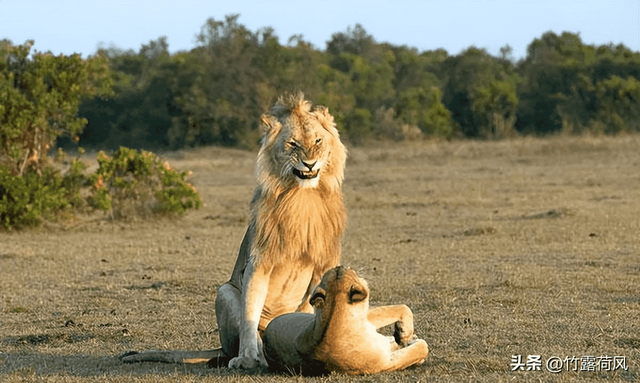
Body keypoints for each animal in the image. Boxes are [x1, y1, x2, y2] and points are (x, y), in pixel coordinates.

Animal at [122, 92, 348, 368]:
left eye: (318, 140)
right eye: (293, 144)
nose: (310, 163)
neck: (302, 198)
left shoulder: (323, 264)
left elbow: (309, 306)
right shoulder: (258, 262)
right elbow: (249, 311)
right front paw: (249, 357)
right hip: (225, 291)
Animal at [262, 268, 428, 376]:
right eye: (351, 271)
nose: (341, 266)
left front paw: (403, 337)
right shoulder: (384, 363)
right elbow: (420, 346)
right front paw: (408, 338)